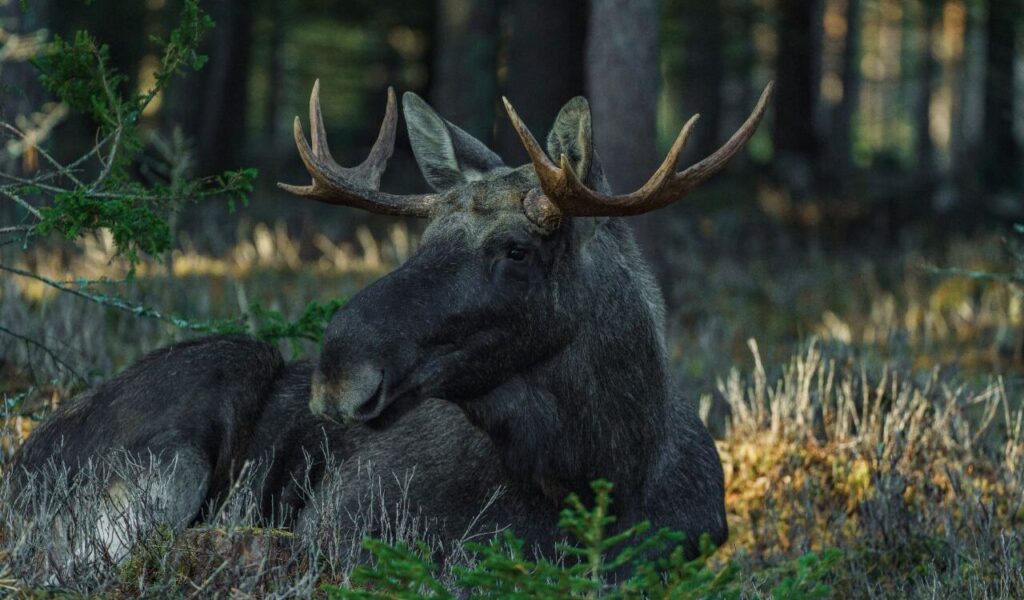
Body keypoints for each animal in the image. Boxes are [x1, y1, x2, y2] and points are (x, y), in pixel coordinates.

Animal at [9, 79, 773, 569]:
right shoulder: (346, 528)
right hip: (178, 438)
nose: (338, 370)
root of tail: (16, 465)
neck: (605, 474)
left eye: (516, 249)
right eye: (425, 237)